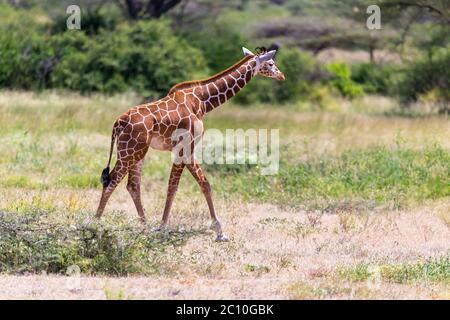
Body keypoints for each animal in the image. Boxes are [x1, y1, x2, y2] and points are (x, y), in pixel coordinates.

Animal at [95, 45, 284, 240]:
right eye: (271, 63)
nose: (282, 76)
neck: (202, 101)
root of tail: (118, 123)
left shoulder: (181, 148)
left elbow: (175, 186)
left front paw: (161, 227)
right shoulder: (186, 145)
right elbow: (200, 184)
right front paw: (219, 232)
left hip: (138, 150)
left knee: (132, 185)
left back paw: (144, 227)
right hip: (130, 150)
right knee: (111, 182)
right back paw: (94, 225)